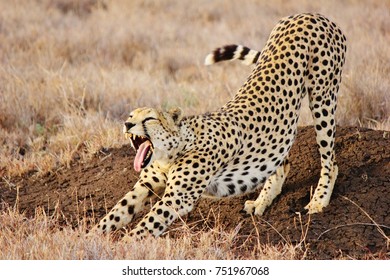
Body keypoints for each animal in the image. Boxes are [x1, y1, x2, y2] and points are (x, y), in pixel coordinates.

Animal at [91, 13, 348, 241]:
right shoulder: (145, 184)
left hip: (323, 98)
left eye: (149, 119)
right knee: (280, 162)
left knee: (330, 161)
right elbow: (117, 213)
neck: (173, 151)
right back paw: (261, 201)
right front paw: (90, 238)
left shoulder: (178, 197)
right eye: (131, 115)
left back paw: (319, 200)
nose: (127, 124)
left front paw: (126, 245)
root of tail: (310, 14)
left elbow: (147, 224)